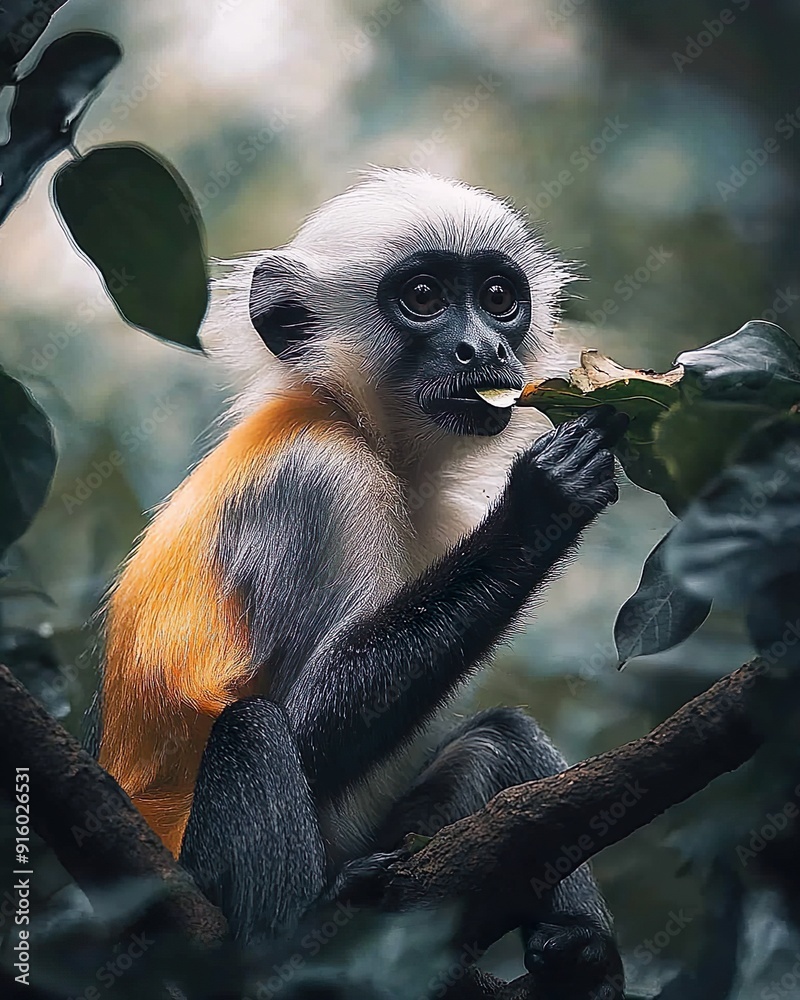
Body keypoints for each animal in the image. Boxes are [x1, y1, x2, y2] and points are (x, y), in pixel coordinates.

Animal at [95, 169, 627, 998]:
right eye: (423, 297)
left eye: (499, 297)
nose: (484, 346)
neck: (350, 421)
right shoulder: (319, 484)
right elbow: (309, 723)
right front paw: (546, 501)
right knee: (253, 730)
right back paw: (281, 951)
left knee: (503, 743)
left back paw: (579, 954)